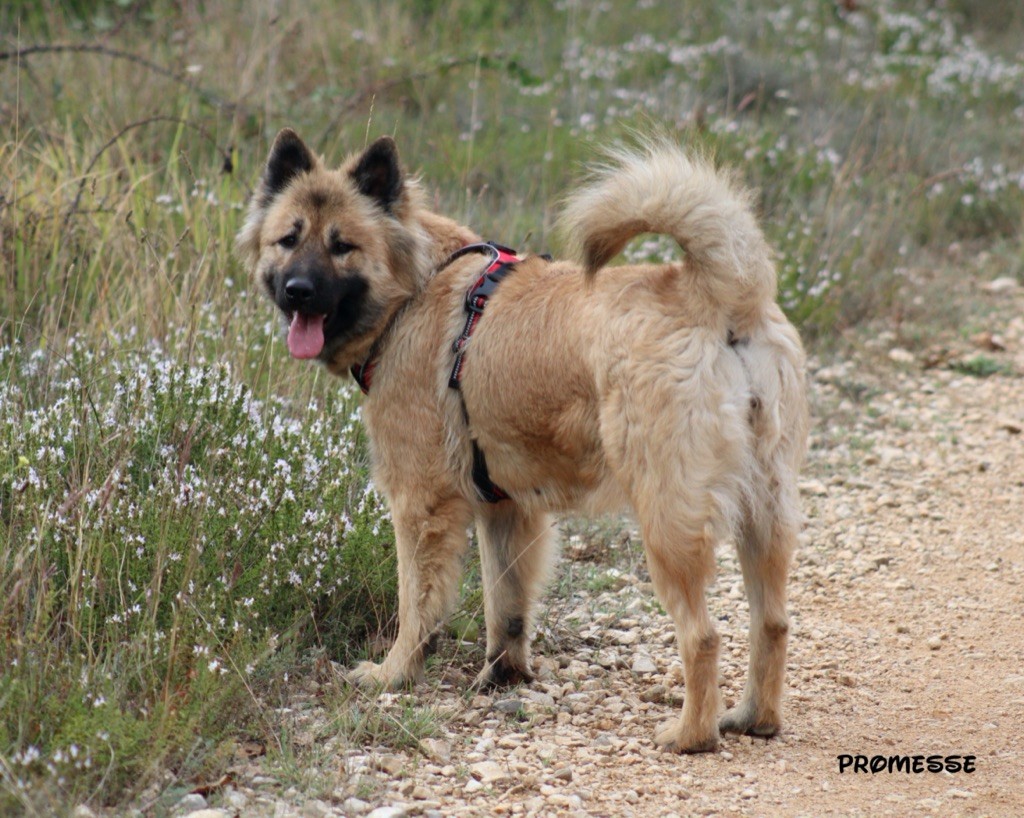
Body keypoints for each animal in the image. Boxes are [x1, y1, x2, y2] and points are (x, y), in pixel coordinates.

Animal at [237, 131, 806, 753]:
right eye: (288, 238)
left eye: (343, 246)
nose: (298, 291)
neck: (415, 287)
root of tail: (722, 294)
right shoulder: (507, 508)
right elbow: (505, 606)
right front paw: (501, 674)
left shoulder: (420, 505)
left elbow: (416, 604)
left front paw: (393, 673)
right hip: (765, 513)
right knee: (772, 622)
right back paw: (753, 717)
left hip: (669, 520)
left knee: (702, 636)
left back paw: (690, 734)